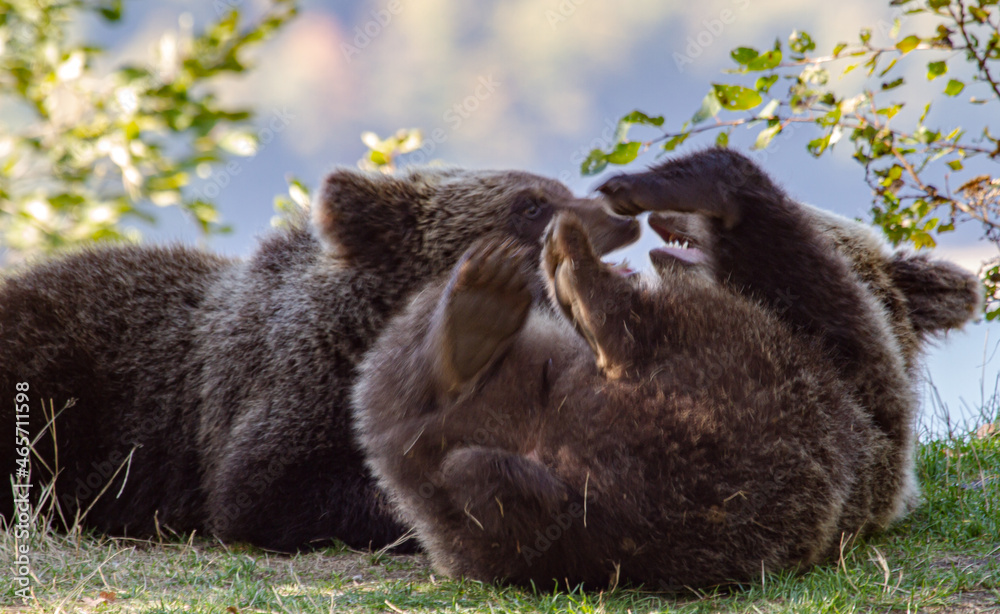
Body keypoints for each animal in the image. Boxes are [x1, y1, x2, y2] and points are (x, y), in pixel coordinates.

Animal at [351, 148, 982, 588]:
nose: (665, 223)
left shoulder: (860, 379)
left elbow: (803, 272)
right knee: (410, 392)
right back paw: (480, 321)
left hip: (762, 428)